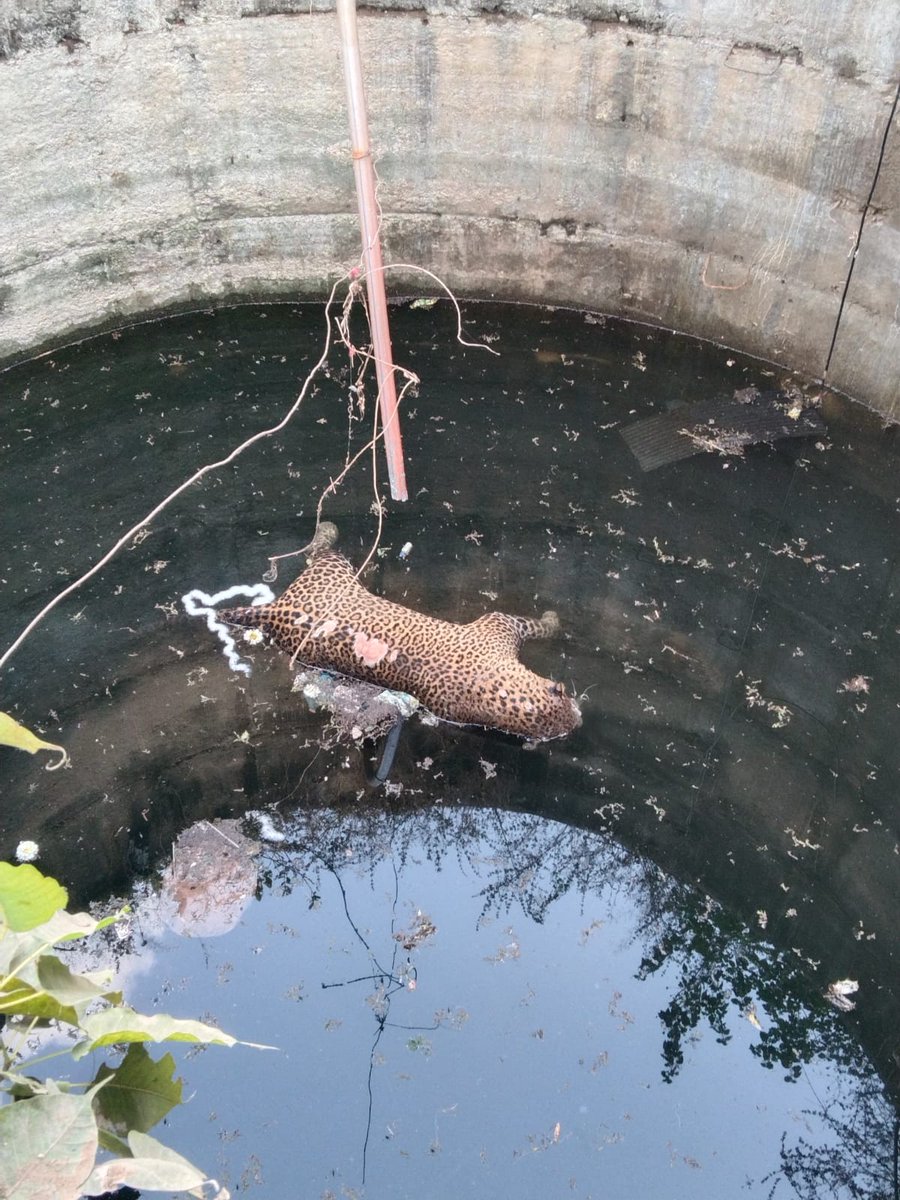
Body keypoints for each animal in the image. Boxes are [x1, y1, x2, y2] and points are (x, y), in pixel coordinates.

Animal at [218, 523, 582, 742]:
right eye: (562, 691)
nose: (578, 720)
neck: (489, 682)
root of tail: (274, 608)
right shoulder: (500, 622)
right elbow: (540, 625)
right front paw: (554, 618)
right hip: (336, 571)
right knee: (320, 548)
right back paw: (327, 526)